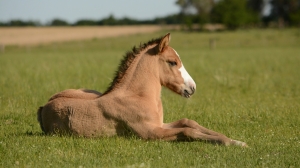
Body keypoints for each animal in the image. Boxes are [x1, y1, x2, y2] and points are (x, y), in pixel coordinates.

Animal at [38, 32, 246, 146]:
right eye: (172, 62)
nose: (192, 88)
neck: (137, 97)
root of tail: (43, 106)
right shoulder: (150, 133)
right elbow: (188, 131)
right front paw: (229, 143)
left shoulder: (160, 124)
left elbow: (189, 122)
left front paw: (236, 141)